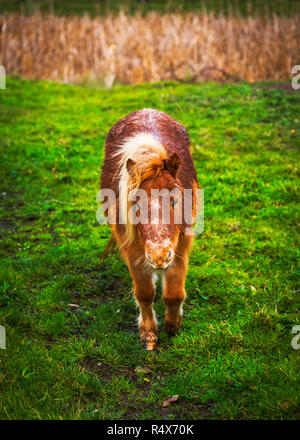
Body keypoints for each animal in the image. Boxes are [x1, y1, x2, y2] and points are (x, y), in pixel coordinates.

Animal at [101, 108, 199, 348]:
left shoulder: (181, 245)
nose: (159, 256)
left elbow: (174, 293)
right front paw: (149, 334)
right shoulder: (132, 249)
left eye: (175, 200)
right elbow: (145, 294)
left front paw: (173, 325)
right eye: (135, 204)